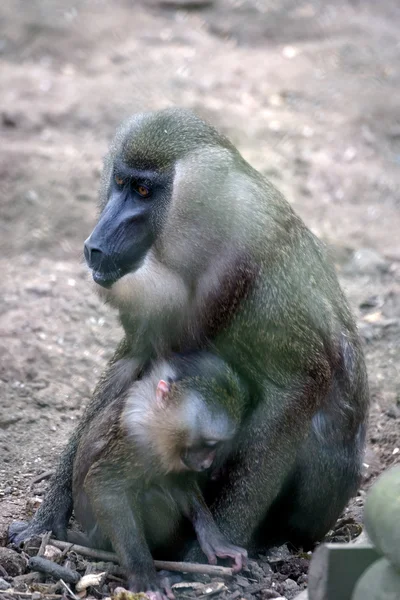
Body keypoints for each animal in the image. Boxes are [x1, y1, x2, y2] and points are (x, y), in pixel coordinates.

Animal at [9, 106, 370, 552]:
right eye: (121, 183)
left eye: (144, 191)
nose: (96, 244)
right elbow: (130, 366)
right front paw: (44, 520)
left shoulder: (258, 263)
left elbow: (298, 387)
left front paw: (210, 549)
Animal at [72, 352, 247, 600]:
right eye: (209, 443)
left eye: (217, 445)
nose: (206, 463)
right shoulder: (136, 439)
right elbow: (103, 485)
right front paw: (144, 576)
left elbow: (181, 482)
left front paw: (214, 540)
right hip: (103, 538)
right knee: (150, 496)